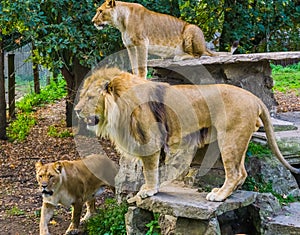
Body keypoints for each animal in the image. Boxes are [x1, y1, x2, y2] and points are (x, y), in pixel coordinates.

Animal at [74, 67, 298, 202]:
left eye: (90, 97)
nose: (76, 110)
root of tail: (255, 98)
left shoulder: (150, 141)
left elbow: (149, 170)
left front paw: (147, 190)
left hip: (229, 138)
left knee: (235, 173)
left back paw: (219, 195)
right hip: (237, 139)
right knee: (241, 172)